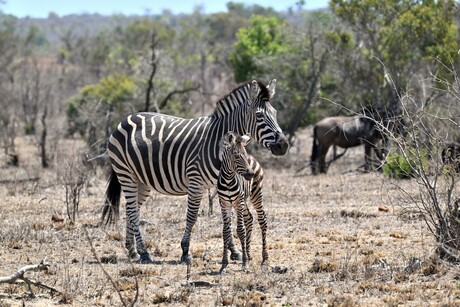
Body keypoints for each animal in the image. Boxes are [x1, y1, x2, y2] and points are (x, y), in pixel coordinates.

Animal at [102, 79, 288, 264]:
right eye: (259, 116)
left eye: (275, 113)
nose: (283, 145)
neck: (218, 142)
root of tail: (126, 119)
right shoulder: (196, 181)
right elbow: (192, 216)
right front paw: (185, 251)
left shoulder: (222, 184)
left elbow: (226, 218)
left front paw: (234, 251)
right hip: (126, 174)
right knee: (133, 211)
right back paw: (144, 252)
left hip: (142, 180)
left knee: (131, 209)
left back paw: (132, 250)